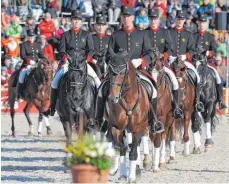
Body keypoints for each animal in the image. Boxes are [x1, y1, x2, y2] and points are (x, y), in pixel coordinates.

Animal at [106, 51, 149, 182]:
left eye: (122, 72)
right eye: (109, 71)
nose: (112, 98)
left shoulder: (138, 128)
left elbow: (133, 152)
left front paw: (132, 177)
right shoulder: (116, 127)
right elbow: (120, 148)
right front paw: (120, 172)